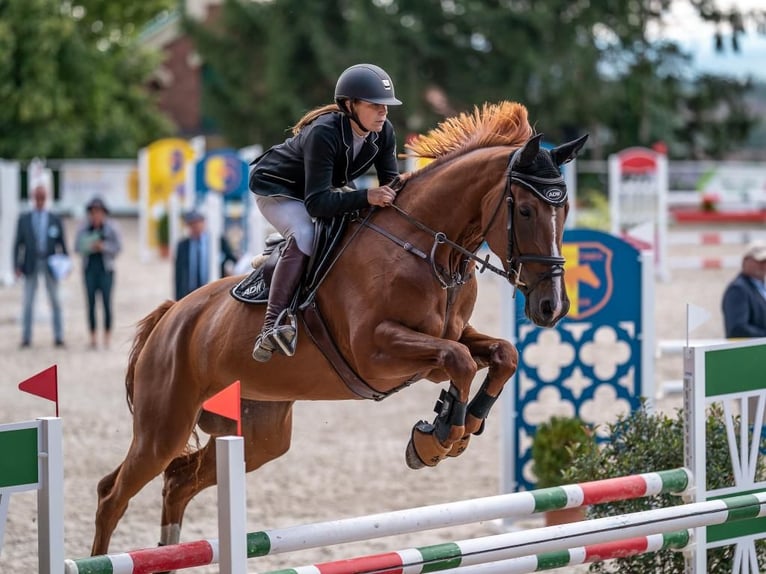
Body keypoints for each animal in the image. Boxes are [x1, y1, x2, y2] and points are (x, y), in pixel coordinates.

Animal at [91, 101, 588, 556]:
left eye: (565, 212)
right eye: (526, 210)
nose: (552, 307)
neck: (429, 249)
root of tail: (171, 315)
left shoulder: (451, 334)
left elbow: (502, 354)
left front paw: (459, 423)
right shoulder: (377, 352)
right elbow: (460, 361)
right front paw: (439, 437)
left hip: (258, 434)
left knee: (178, 481)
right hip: (164, 427)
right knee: (113, 493)